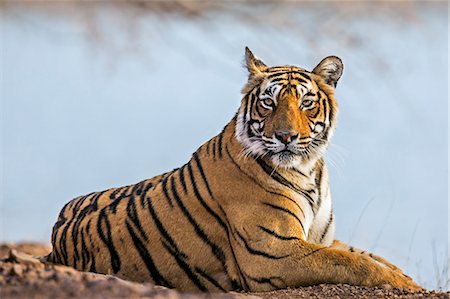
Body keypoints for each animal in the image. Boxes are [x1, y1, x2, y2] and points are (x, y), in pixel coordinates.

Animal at [46, 48, 422, 292]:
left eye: (306, 102)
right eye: (269, 102)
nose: (286, 136)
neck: (308, 171)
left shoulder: (320, 238)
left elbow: (371, 256)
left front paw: (409, 278)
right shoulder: (272, 252)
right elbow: (352, 263)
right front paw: (404, 285)